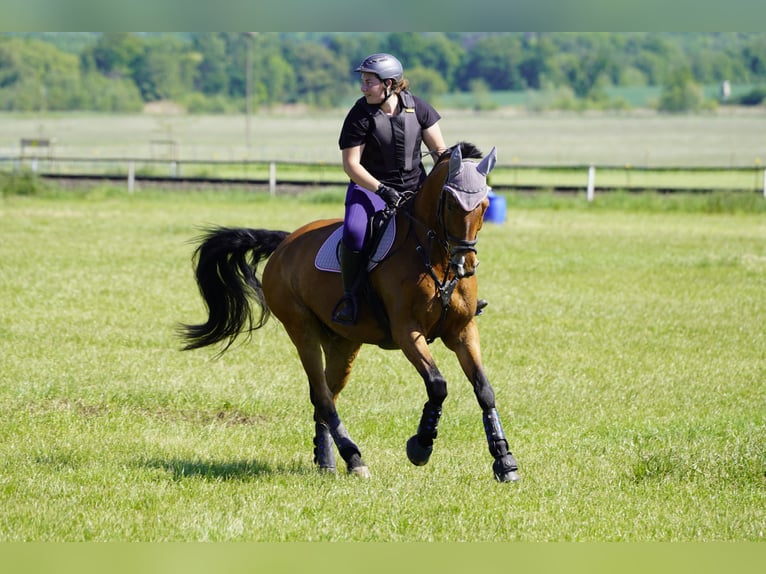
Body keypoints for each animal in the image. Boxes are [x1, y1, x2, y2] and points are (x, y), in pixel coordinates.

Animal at [178, 142, 520, 484]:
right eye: (450, 203)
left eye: (485, 205)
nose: (466, 264)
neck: (434, 256)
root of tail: (286, 243)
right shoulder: (407, 332)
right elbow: (437, 385)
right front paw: (420, 446)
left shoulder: (462, 331)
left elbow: (484, 390)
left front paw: (504, 459)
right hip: (301, 329)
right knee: (322, 395)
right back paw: (353, 458)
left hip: (343, 343)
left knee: (326, 395)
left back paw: (326, 458)